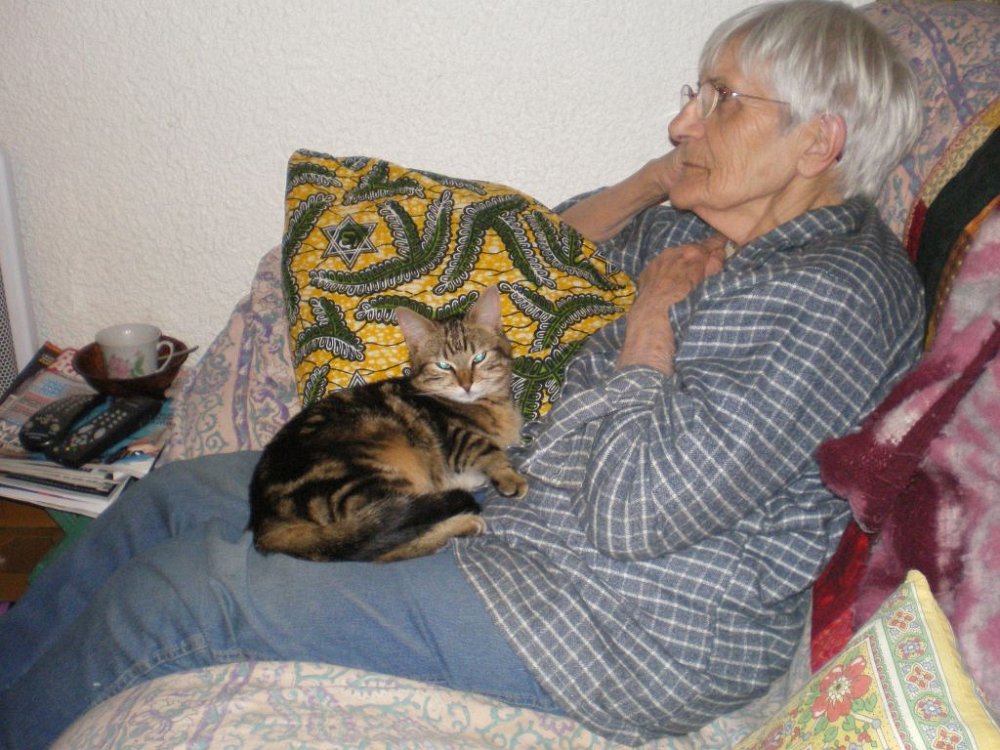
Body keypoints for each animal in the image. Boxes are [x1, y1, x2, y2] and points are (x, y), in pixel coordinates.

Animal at [248, 286, 527, 563]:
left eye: (478, 358)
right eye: (443, 365)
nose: (466, 384)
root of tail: (266, 521)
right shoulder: (452, 435)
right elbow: (487, 448)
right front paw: (509, 476)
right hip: (368, 477)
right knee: (385, 547)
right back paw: (464, 523)